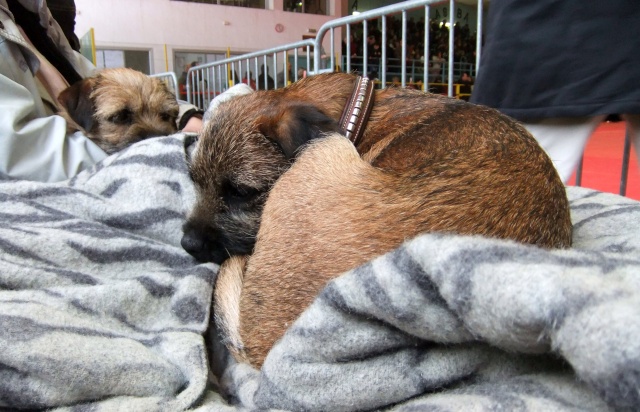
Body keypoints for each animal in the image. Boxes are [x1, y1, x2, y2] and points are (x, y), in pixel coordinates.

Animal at [182, 72, 572, 368]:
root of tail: (264, 346)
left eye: (241, 192)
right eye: (194, 180)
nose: (187, 243)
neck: (361, 113)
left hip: (323, 148)